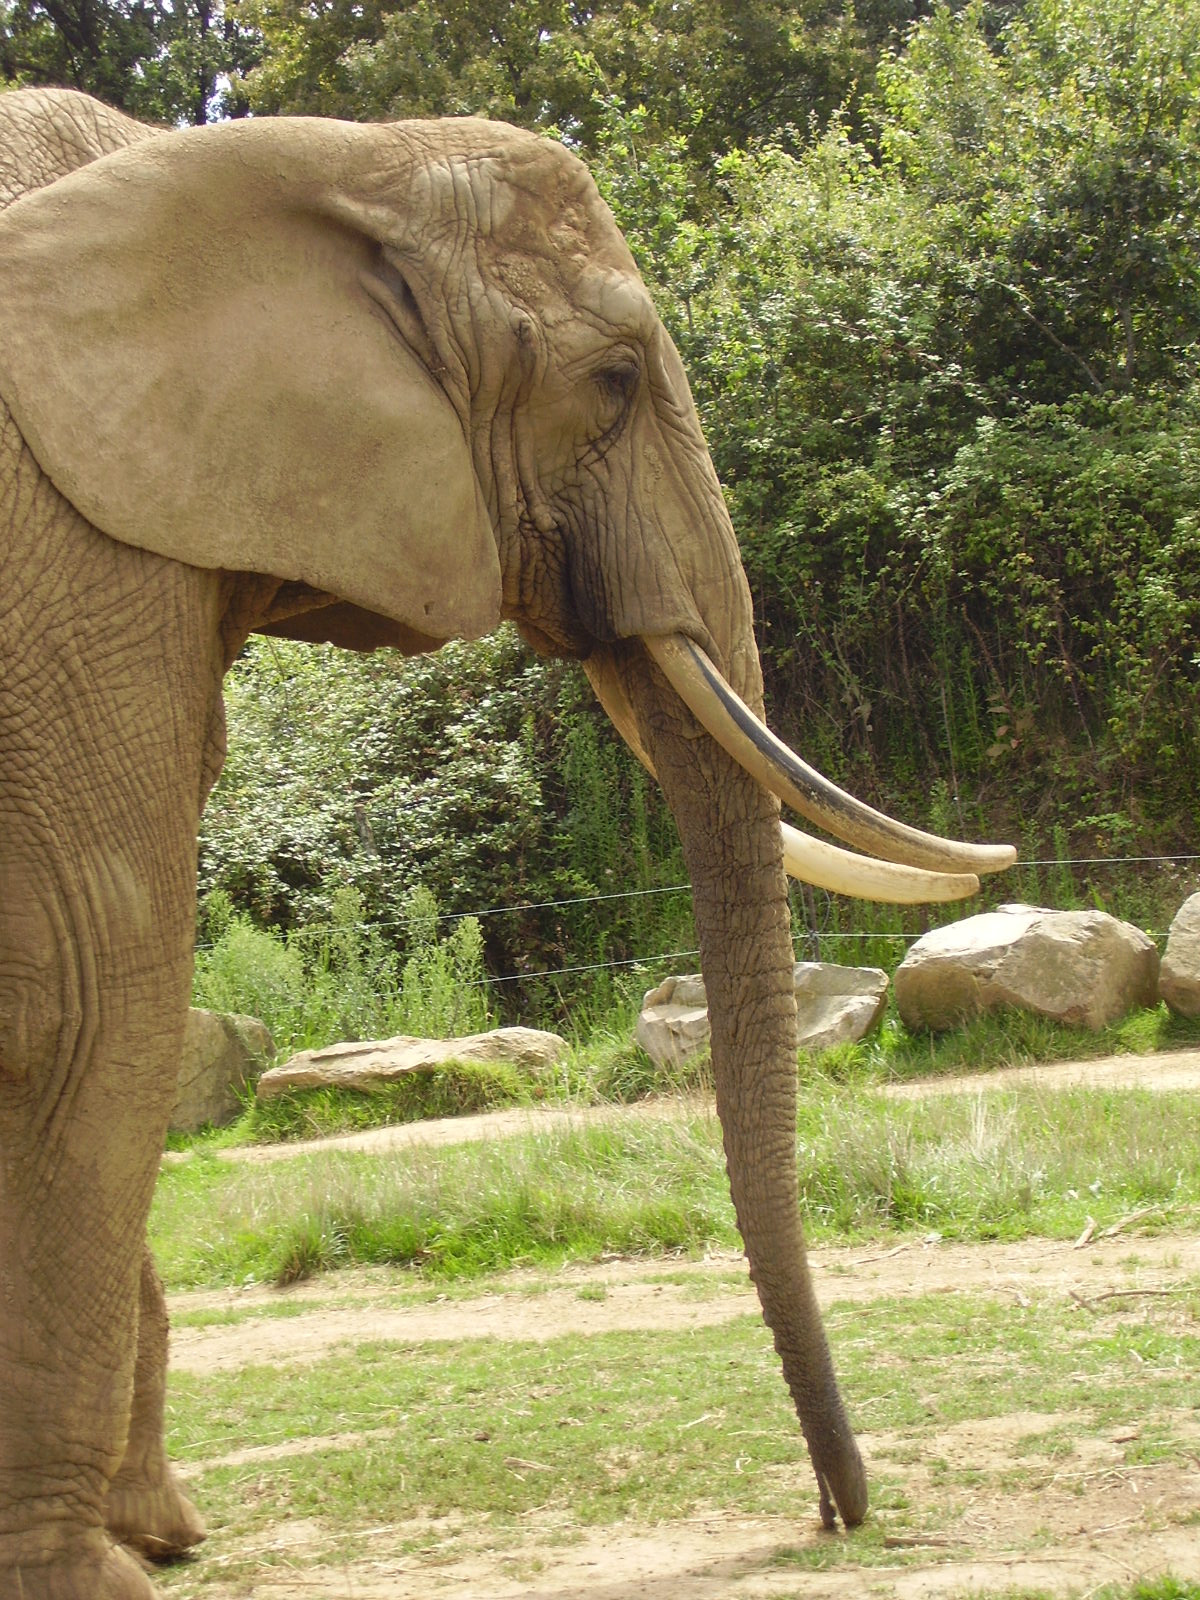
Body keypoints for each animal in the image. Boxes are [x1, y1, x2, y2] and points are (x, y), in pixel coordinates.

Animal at [0, 85, 1014, 1599]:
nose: (845, 1513)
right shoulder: (71, 537)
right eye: (612, 381)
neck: (305, 151)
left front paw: (158, 1536)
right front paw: (90, 1573)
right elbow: (88, 995)